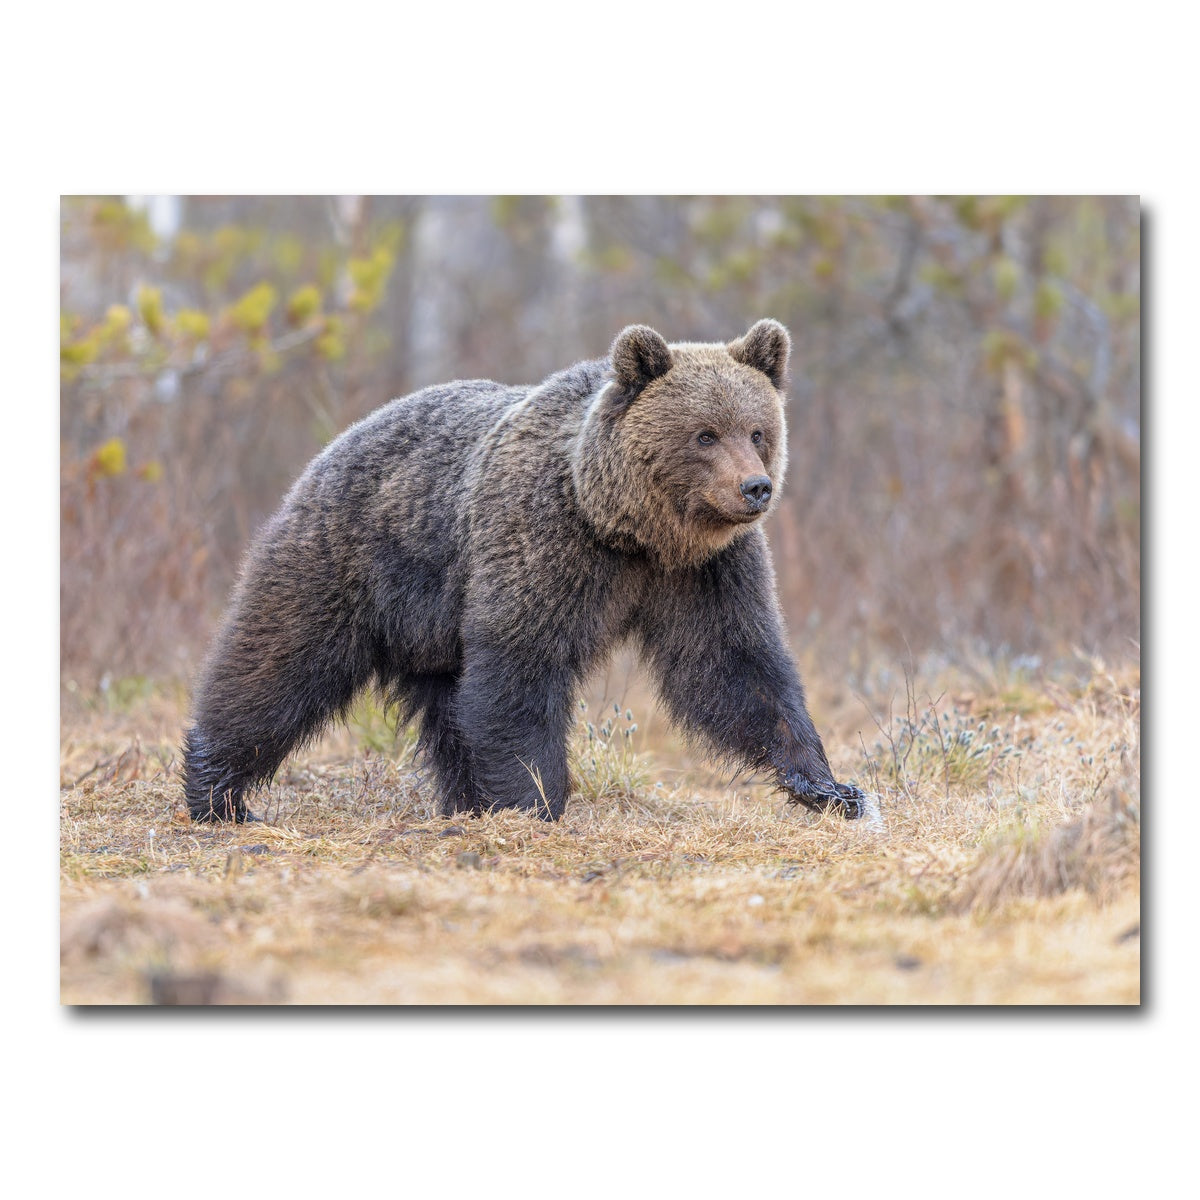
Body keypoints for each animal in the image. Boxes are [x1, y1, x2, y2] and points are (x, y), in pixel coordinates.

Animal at [182, 319, 865, 823]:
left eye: (758, 430)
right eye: (704, 434)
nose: (755, 488)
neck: (628, 529)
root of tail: (338, 441)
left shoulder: (707, 570)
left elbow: (735, 665)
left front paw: (829, 786)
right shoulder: (544, 541)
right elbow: (522, 664)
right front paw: (537, 800)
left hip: (434, 628)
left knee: (448, 708)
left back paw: (464, 803)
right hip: (350, 560)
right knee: (278, 663)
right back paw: (218, 791)